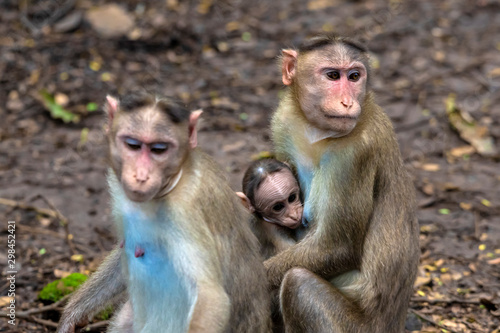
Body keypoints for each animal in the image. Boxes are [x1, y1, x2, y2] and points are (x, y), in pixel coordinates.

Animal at [56, 92, 272, 332]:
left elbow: (211, 297)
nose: (141, 176)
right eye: (133, 145)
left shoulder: (184, 212)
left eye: (159, 149)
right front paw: (72, 315)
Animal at [268, 34, 420, 332]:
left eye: (354, 76)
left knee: (297, 284)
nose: (348, 103)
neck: (319, 134)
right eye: (332, 76)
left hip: (352, 327)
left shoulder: (355, 153)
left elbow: (337, 248)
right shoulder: (284, 121)